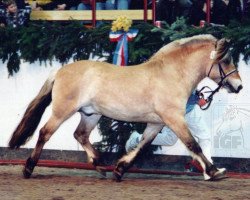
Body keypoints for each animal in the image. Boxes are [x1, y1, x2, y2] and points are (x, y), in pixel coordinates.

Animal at [9, 34, 242, 181]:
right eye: (226, 60)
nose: (239, 86)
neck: (172, 74)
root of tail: (59, 71)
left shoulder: (157, 124)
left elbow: (143, 146)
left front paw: (120, 169)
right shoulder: (174, 119)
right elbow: (193, 145)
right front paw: (214, 172)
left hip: (91, 114)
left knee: (80, 135)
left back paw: (101, 166)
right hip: (62, 111)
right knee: (44, 132)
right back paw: (28, 168)